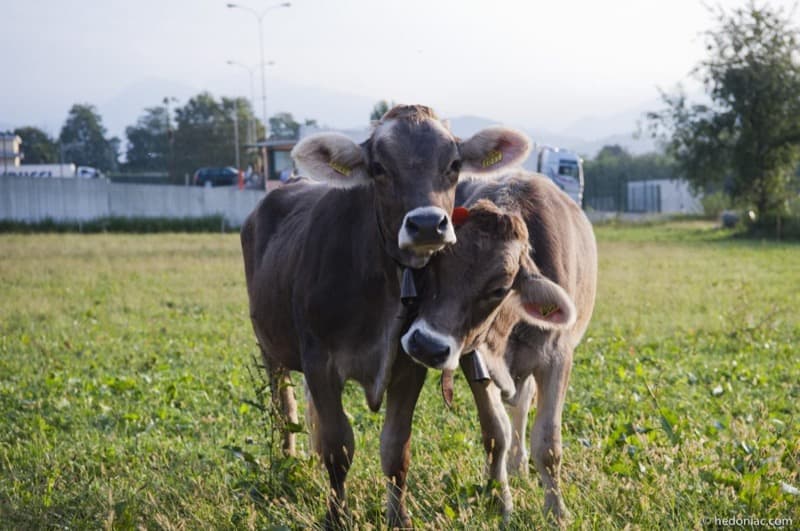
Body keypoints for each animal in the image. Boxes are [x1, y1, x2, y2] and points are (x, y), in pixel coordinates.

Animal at [241, 105, 536, 528]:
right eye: (379, 167)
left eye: (454, 165)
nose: (427, 223)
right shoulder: (319, 361)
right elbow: (338, 447)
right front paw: (336, 517)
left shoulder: (409, 365)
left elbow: (396, 451)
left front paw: (399, 518)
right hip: (269, 346)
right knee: (285, 407)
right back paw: (287, 461)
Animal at [400, 172, 592, 524]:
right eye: (433, 266)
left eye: (500, 288)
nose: (426, 345)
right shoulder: (472, 358)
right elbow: (495, 433)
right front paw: (498, 501)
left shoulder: (558, 359)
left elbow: (548, 443)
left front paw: (556, 511)